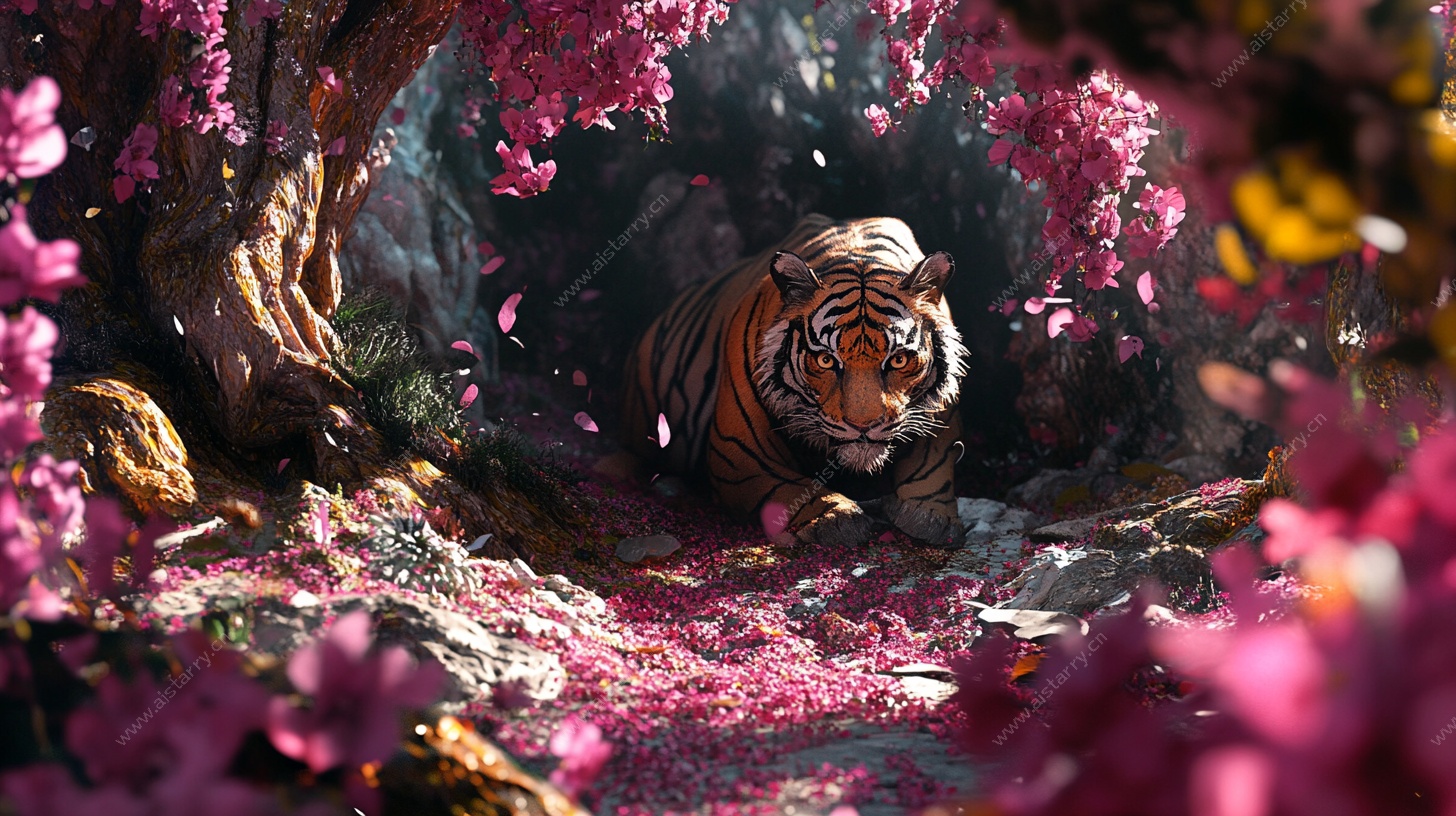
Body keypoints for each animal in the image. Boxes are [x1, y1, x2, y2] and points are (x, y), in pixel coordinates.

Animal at [622, 214, 969, 547]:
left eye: (898, 360)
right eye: (826, 360)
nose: (863, 426)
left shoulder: (941, 421)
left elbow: (933, 468)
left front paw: (930, 518)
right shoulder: (740, 456)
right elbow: (794, 490)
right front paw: (836, 518)